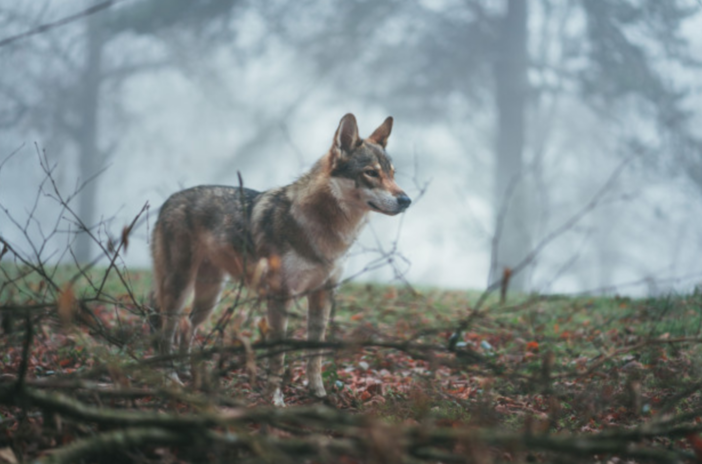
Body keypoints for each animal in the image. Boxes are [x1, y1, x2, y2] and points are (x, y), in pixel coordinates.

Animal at [150, 113, 412, 406]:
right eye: (371, 172)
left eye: (392, 174)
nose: (406, 200)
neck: (324, 229)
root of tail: (169, 200)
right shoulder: (279, 297)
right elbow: (278, 356)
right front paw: (275, 399)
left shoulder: (323, 295)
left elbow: (315, 355)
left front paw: (318, 394)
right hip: (180, 288)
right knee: (166, 332)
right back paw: (171, 379)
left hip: (209, 297)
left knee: (186, 326)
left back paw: (185, 371)